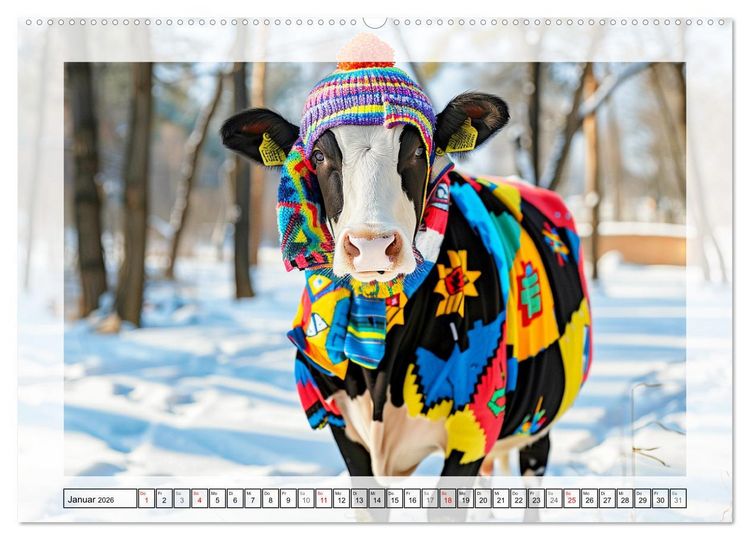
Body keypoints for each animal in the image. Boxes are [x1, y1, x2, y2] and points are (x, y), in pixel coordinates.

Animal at [221, 34, 592, 488]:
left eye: (416, 150)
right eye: (321, 156)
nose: (373, 245)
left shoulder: (473, 425)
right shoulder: (345, 429)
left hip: (537, 421)